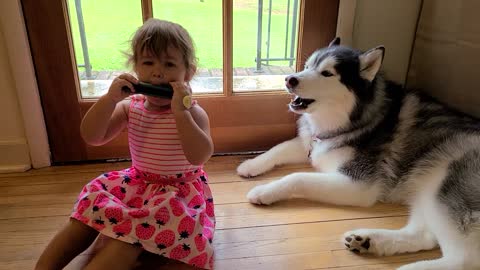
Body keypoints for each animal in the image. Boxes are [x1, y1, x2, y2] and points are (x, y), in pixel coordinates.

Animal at [238, 38, 480, 270]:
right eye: (307, 66)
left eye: (327, 73)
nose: (290, 79)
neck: (353, 121)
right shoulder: (314, 146)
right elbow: (278, 148)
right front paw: (250, 165)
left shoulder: (359, 184)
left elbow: (297, 178)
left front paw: (264, 190)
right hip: (425, 187)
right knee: (423, 235)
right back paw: (368, 240)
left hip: (447, 185)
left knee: (464, 260)